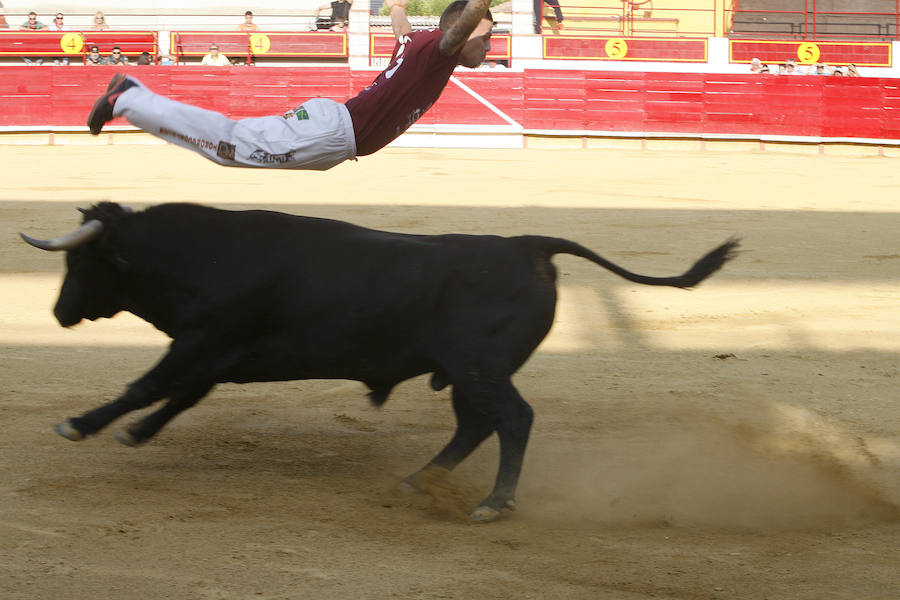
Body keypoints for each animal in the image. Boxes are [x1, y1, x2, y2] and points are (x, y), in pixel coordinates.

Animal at [21, 202, 740, 520]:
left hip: (479, 367)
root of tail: (527, 244)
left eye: (79, 262)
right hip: (467, 374)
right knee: (476, 424)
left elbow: (147, 385)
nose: (58, 313)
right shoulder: (218, 353)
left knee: (513, 420)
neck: (199, 254)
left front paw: (81, 425)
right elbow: (174, 396)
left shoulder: (202, 344)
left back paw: (494, 502)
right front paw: (134, 434)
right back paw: (419, 480)